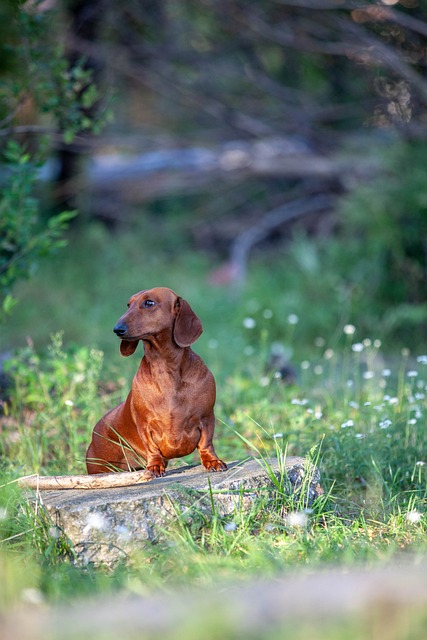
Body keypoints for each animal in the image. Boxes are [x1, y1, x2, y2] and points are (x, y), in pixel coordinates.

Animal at [85, 288, 229, 478]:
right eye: (128, 304)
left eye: (149, 303)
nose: (117, 329)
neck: (166, 367)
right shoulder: (145, 425)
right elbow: (151, 447)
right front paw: (154, 466)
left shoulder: (206, 417)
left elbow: (206, 442)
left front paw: (212, 461)